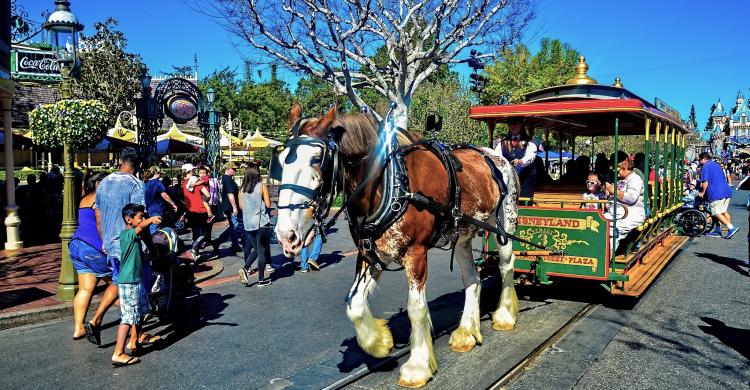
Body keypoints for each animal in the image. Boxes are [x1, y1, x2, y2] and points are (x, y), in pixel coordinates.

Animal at [276, 103, 524, 386]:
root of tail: (495, 155)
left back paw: (504, 316)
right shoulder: (369, 254)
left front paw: (417, 367)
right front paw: (379, 342)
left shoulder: (416, 253)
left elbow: (416, 309)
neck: (390, 184)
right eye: (280, 161)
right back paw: (466, 332)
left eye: (317, 160)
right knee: (472, 278)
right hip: (463, 232)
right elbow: (354, 305)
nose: (285, 235)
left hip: (504, 224)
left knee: (506, 265)